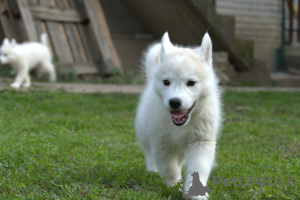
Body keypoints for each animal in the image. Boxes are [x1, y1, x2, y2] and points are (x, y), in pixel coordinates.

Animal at [135, 32, 221, 199]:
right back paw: (152, 171)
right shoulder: (161, 144)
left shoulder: (201, 142)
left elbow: (198, 168)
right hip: (145, 135)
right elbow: (169, 169)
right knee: (149, 154)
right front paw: (174, 187)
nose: (174, 102)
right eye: (166, 82)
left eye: (191, 83)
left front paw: (195, 194)